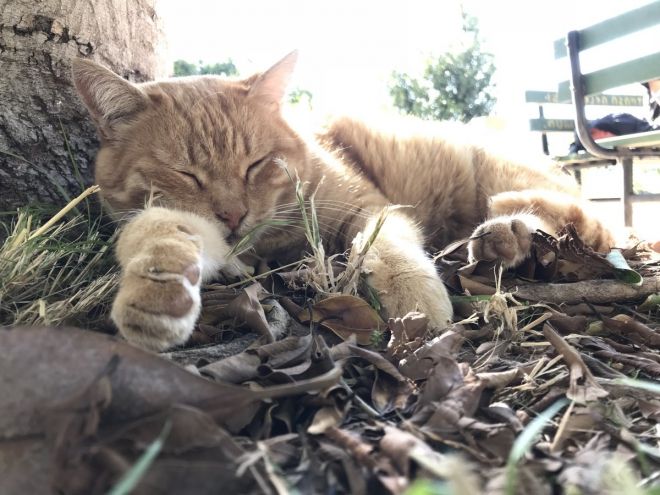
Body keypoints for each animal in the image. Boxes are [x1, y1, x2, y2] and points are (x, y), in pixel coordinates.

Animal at [71, 52, 612, 350]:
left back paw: (505, 229)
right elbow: (159, 231)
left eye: (255, 164)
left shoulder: (371, 209)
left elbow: (384, 247)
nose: (234, 214)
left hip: (497, 169)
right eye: (186, 174)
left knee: (591, 223)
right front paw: (155, 288)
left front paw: (416, 301)